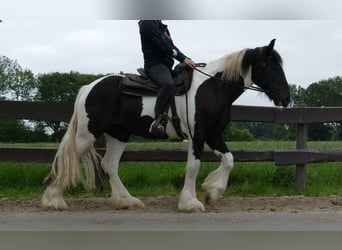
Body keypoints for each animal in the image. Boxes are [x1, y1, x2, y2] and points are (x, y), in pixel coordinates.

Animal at [41, 39, 290, 213]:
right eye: (270, 65)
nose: (286, 98)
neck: (212, 88)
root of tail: (89, 87)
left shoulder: (213, 134)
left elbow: (229, 160)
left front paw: (212, 192)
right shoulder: (197, 135)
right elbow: (193, 167)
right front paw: (191, 203)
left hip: (119, 134)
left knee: (109, 164)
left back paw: (126, 200)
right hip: (87, 134)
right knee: (69, 159)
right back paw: (54, 200)